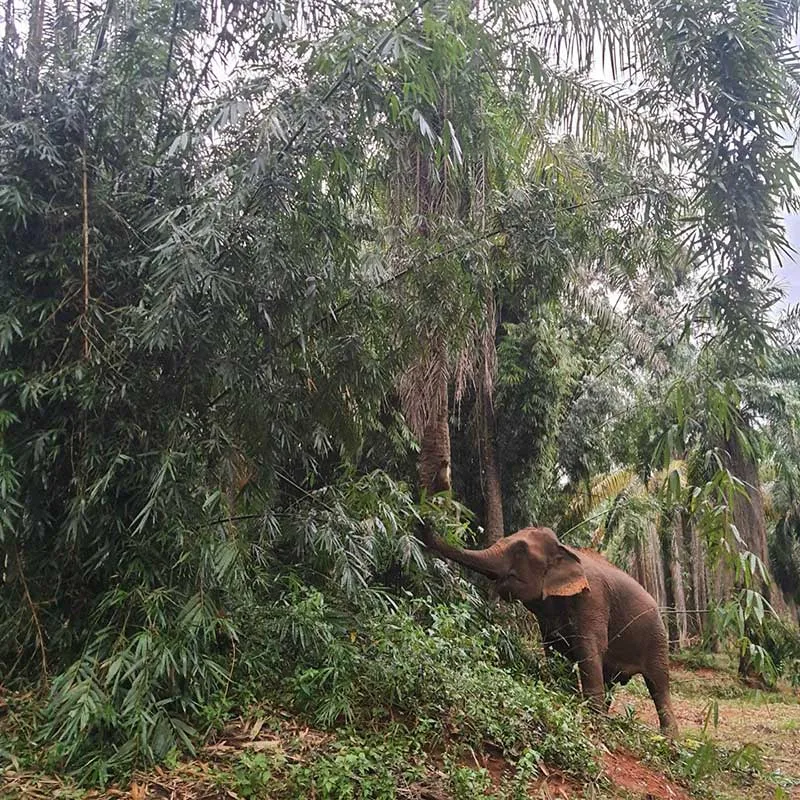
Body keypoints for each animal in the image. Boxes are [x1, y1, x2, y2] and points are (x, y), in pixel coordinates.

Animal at [422, 525, 678, 736]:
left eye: (520, 550)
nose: (426, 523)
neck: (565, 549)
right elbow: (555, 649)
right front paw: (566, 696)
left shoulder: (592, 599)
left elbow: (590, 648)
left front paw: (593, 720)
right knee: (612, 680)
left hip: (657, 638)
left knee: (658, 684)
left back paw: (669, 740)